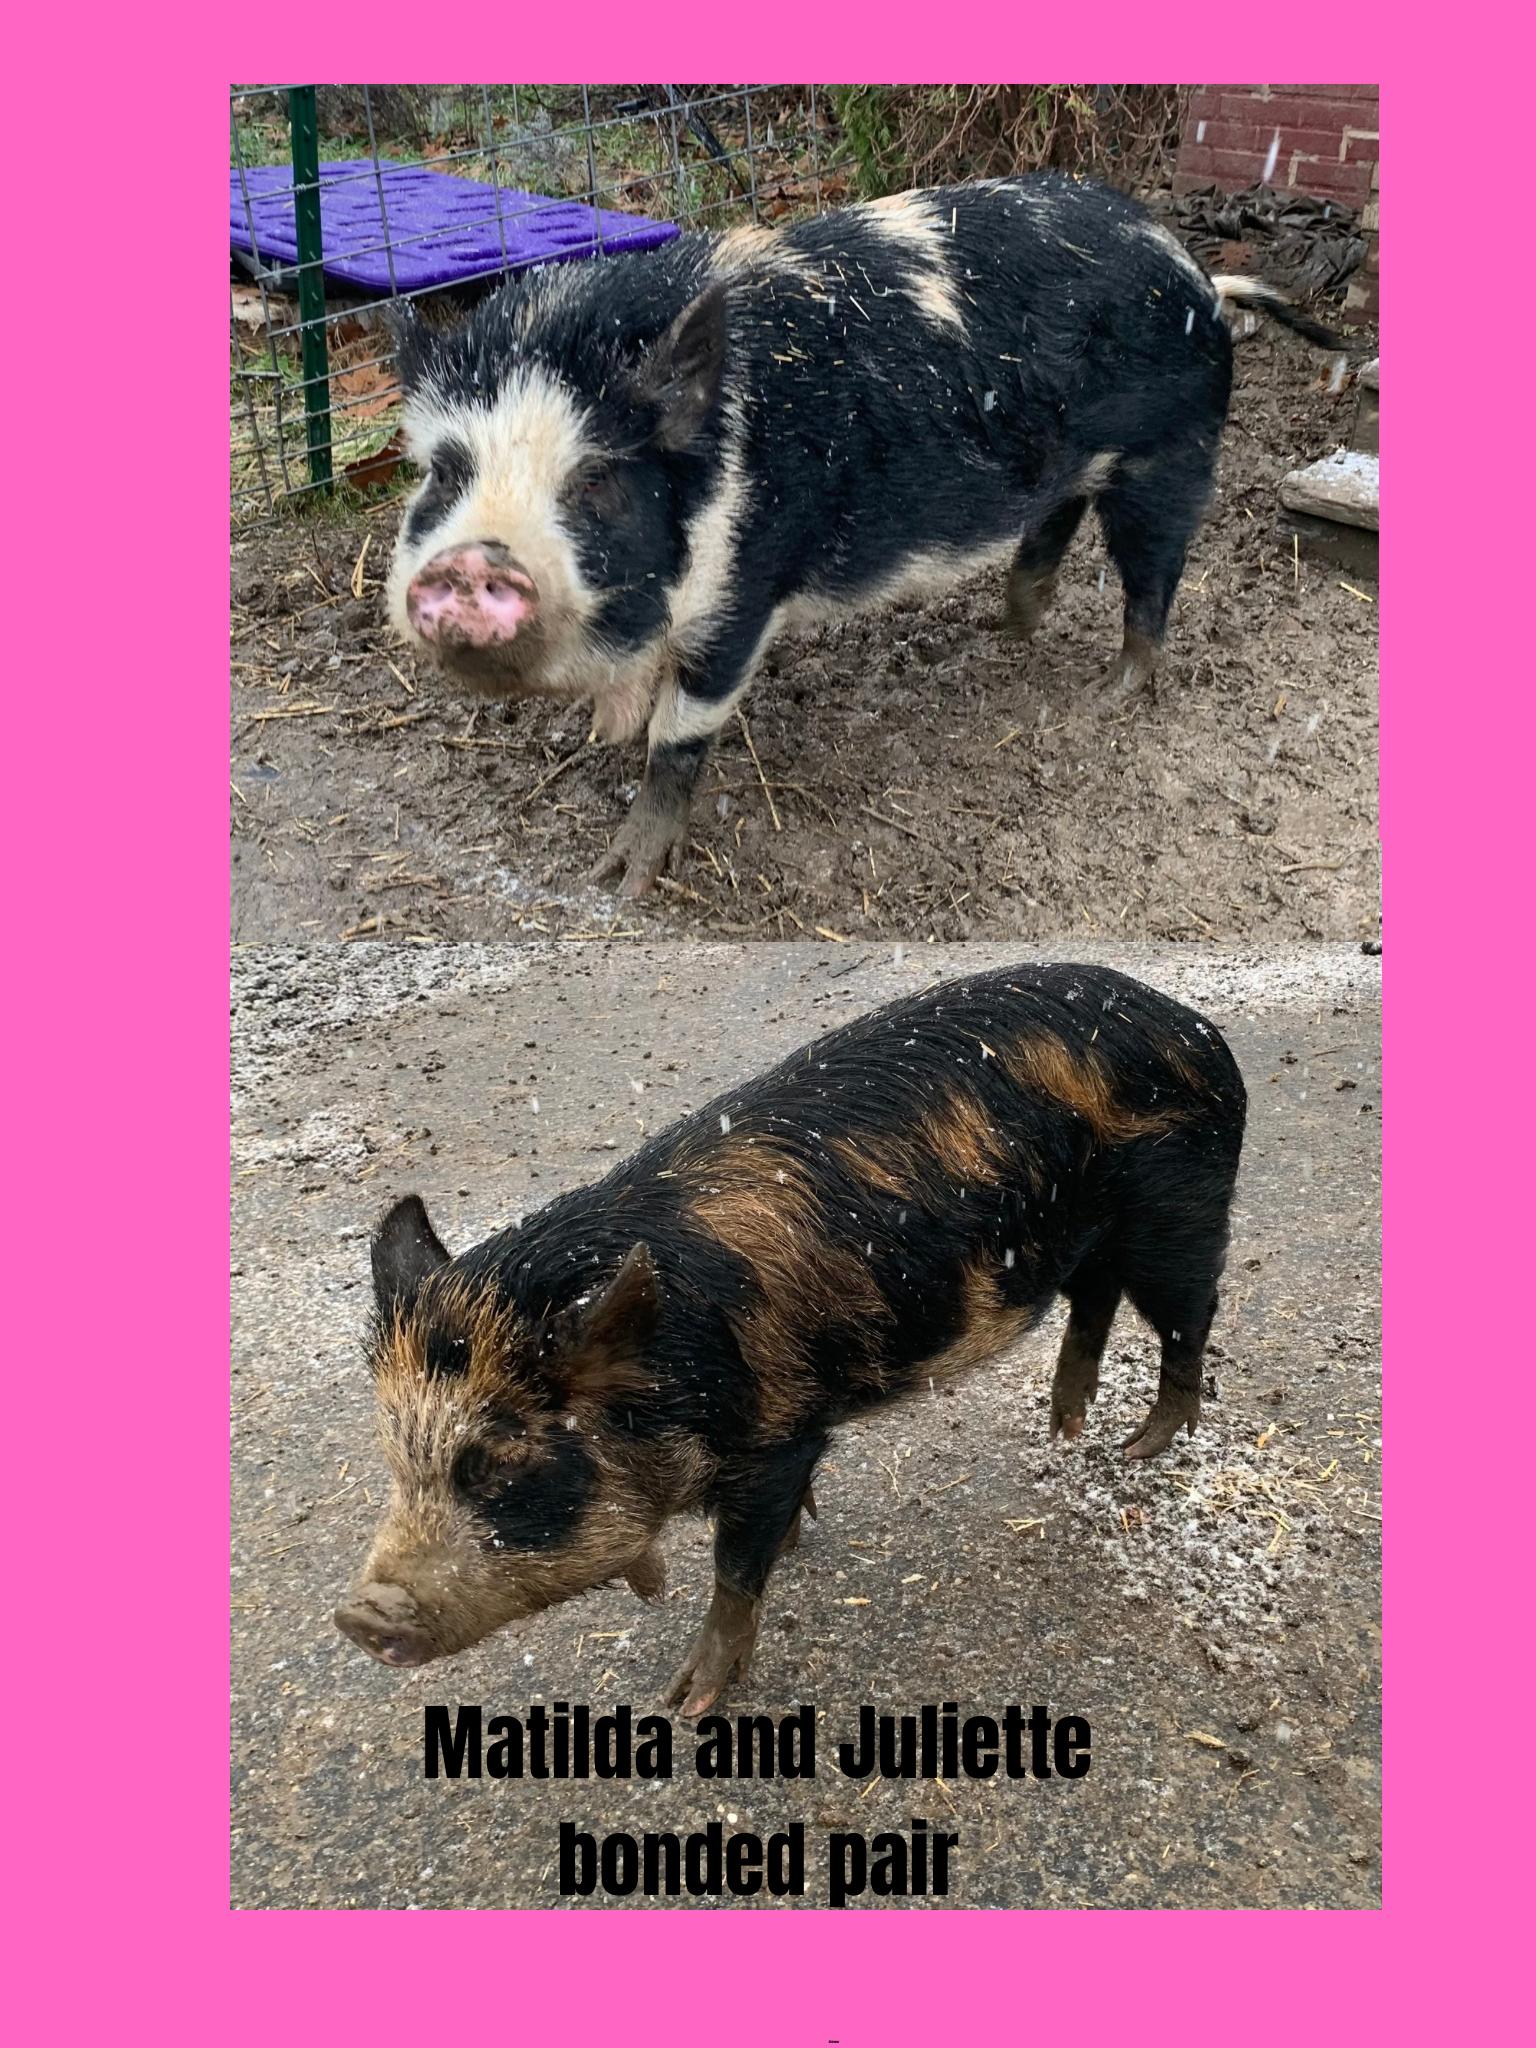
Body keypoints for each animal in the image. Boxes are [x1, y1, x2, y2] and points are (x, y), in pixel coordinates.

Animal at [336, 962, 1246, 1714]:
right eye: (397, 1456)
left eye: (502, 1462)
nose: (357, 1614)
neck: (676, 1363)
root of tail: (1196, 1027)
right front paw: (797, 1543)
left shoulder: (776, 1435)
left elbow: (736, 1567)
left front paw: (688, 1703)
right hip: (1086, 1239)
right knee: (1095, 1299)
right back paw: (1064, 1428)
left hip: (1183, 1213)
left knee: (1189, 1317)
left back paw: (1142, 1446)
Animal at [385, 175, 1343, 896]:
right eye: (444, 474)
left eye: (595, 480)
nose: (470, 560)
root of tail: (1201, 277)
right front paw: (598, 739)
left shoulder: (746, 581)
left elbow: (680, 732)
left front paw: (620, 880)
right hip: (1075, 460)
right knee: (1057, 518)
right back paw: (1008, 625)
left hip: (1171, 451)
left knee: (1154, 570)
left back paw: (1110, 694)